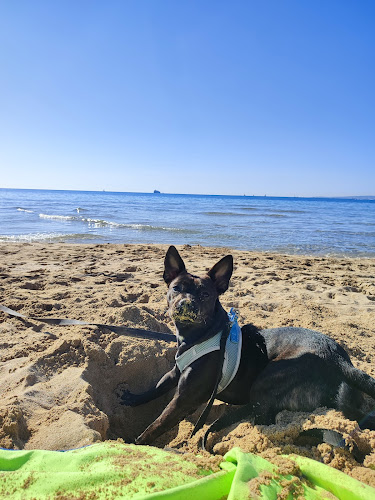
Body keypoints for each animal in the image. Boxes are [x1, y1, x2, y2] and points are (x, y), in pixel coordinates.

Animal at [119, 246, 375, 446]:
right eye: (176, 288)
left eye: (205, 294)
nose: (186, 305)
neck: (199, 336)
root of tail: (339, 360)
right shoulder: (175, 372)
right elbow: (156, 387)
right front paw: (133, 398)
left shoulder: (185, 398)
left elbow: (157, 425)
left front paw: (135, 444)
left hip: (267, 378)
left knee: (266, 418)